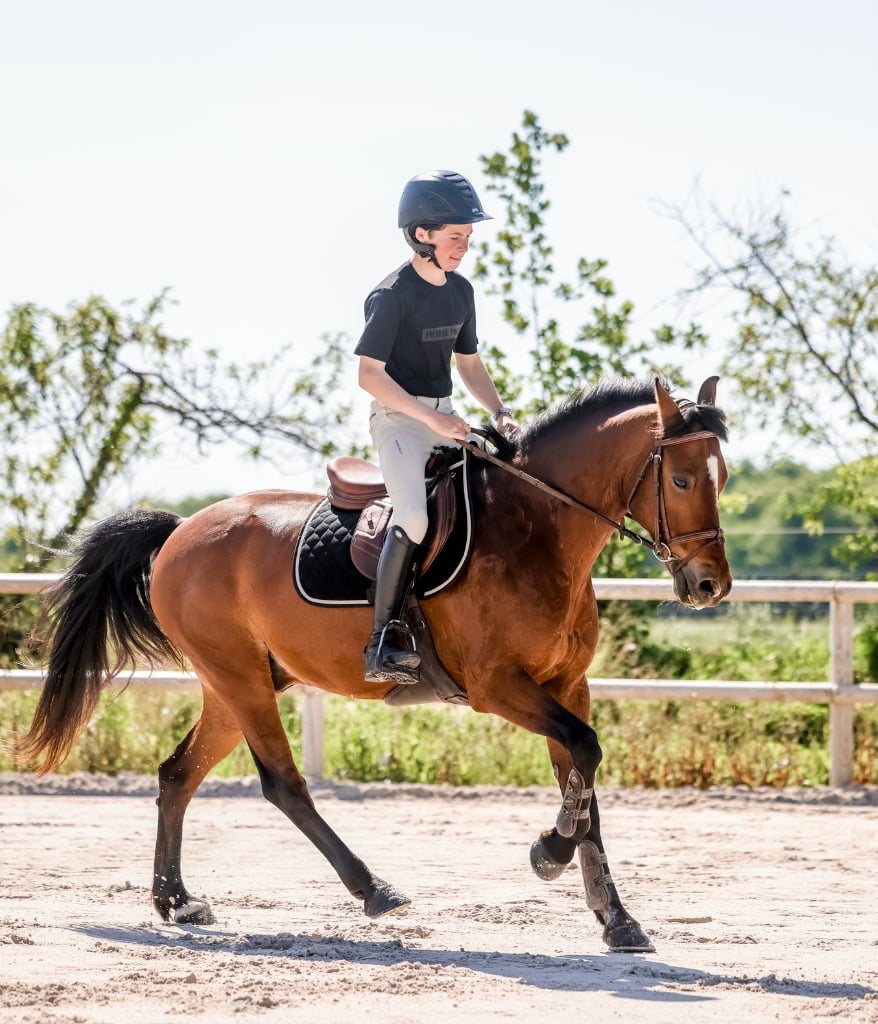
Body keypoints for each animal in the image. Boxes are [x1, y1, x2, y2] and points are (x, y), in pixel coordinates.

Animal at [18, 375, 731, 954]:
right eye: (682, 480)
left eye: (722, 479)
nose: (709, 586)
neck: (537, 529)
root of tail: (180, 530)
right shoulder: (498, 685)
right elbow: (585, 755)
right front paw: (547, 853)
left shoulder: (567, 685)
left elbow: (584, 785)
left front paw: (617, 919)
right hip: (241, 680)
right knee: (283, 785)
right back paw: (373, 889)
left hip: (234, 683)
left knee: (177, 775)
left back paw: (177, 901)